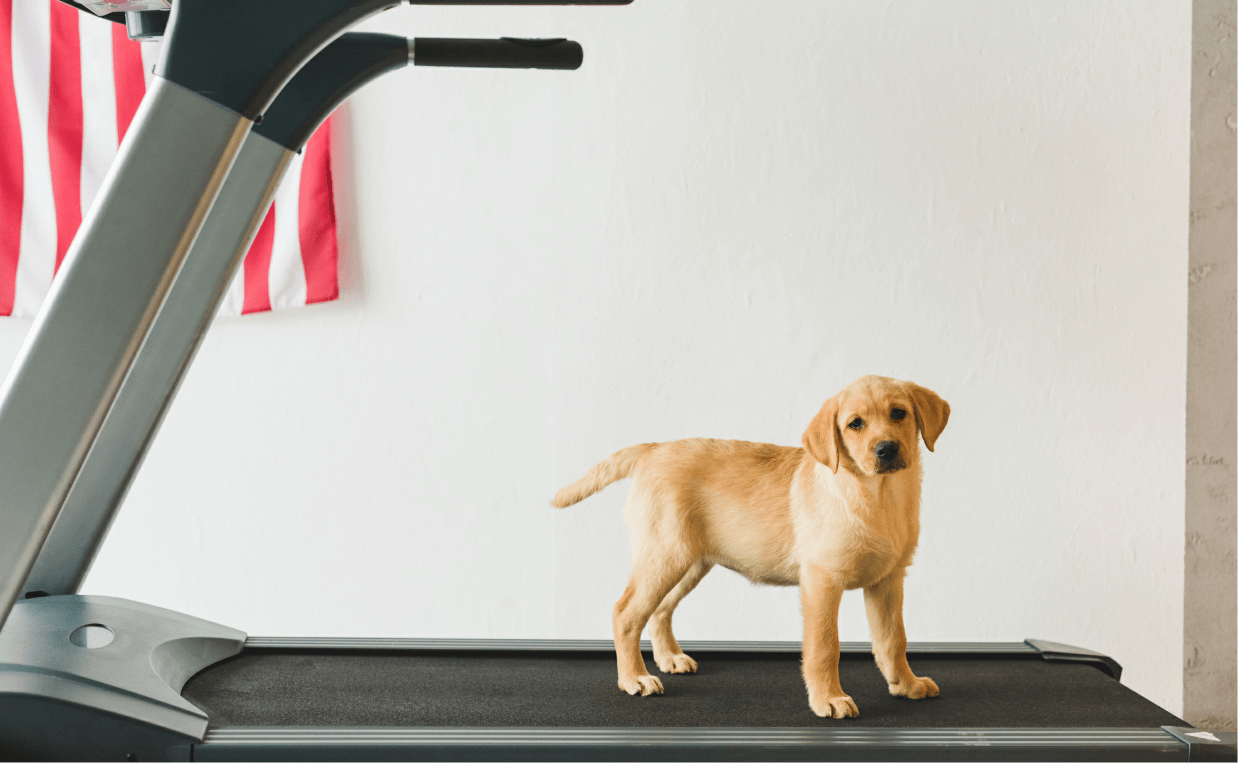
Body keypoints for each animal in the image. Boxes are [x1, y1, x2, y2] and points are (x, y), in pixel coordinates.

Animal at [552, 376, 945, 713]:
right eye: (855, 424)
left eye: (899, 413)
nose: (886, 449)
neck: (878, 497)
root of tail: (654, 449)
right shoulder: (821, 581)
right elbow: (824, 646)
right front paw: (828, 699)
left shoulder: (888, 580)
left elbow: (894, 640)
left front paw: (906, 684)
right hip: (664, 555)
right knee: (626, 613)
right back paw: (634, 678)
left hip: (689, 562)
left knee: (660, 610)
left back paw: (669, 659)